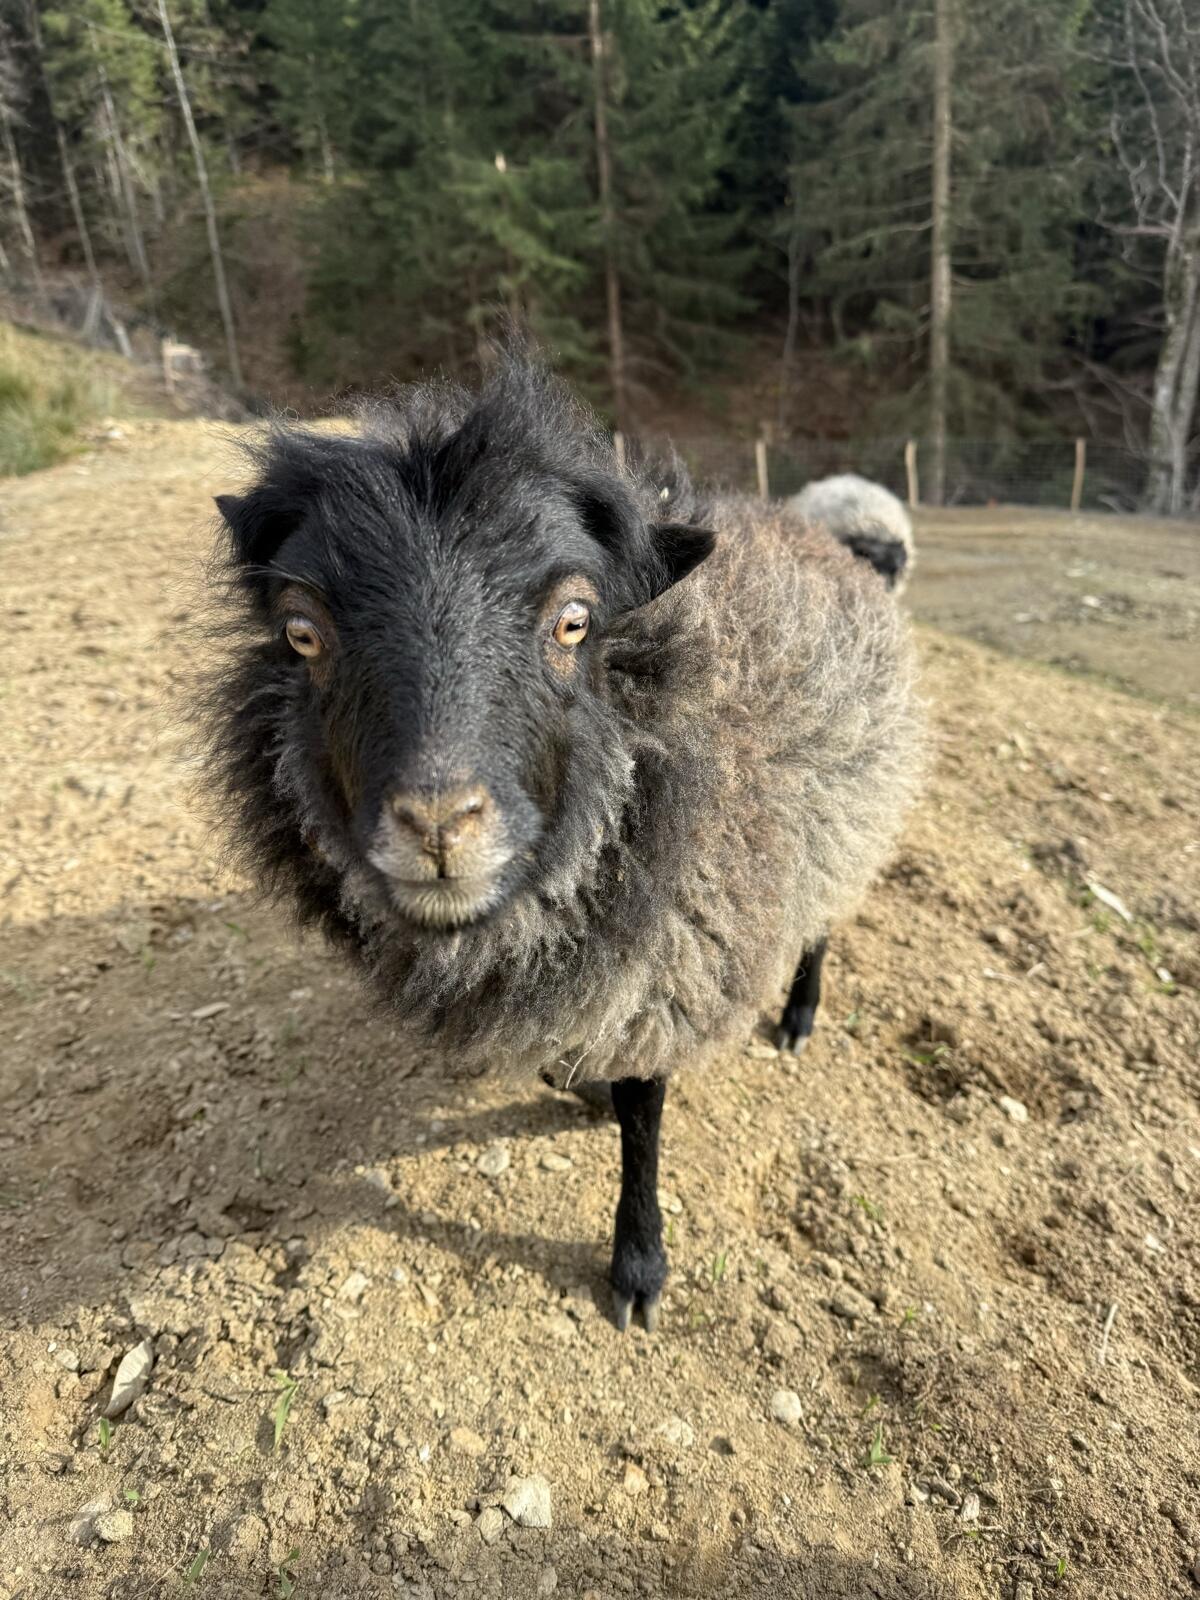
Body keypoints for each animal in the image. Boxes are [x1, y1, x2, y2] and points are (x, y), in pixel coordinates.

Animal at [200, 355, 923, 1332]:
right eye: (301, 632)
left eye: (574, 620)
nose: (439, 825)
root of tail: (830, 536)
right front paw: (576, 1084)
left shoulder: (670, 958)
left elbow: (645, 1112)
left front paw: (639, 1264)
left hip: (848, 820)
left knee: (821, 924)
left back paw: (800, 1015)